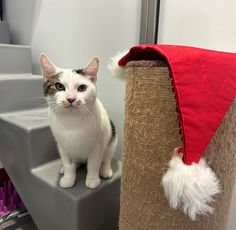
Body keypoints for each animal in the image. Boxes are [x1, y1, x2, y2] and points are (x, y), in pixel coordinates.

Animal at [39, 54, 117, 190]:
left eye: (82, 88)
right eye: (59, 86)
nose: (71, 99)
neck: (72, 121)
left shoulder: (97, 146)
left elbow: (93, 164)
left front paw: (92, 179)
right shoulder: (63, 146)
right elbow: (68, 163)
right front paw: (68, 179)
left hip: (111, 139)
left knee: (106, 158)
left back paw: (105, 170)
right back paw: (66, 169)